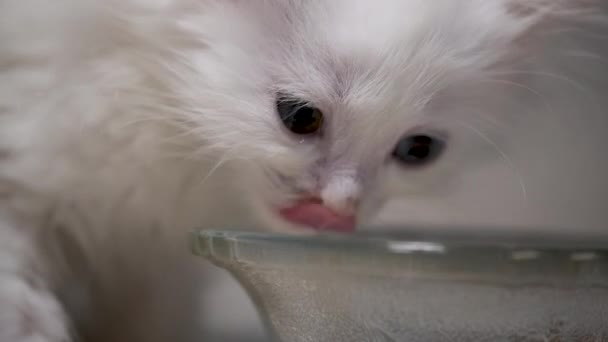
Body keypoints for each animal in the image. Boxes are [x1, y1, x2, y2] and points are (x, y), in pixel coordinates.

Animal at [1, 0, 608, 340]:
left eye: (417, 150)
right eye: (300, 117)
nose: (341, 206)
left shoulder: (158, 275)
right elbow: (18, 293)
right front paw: (34, 328)